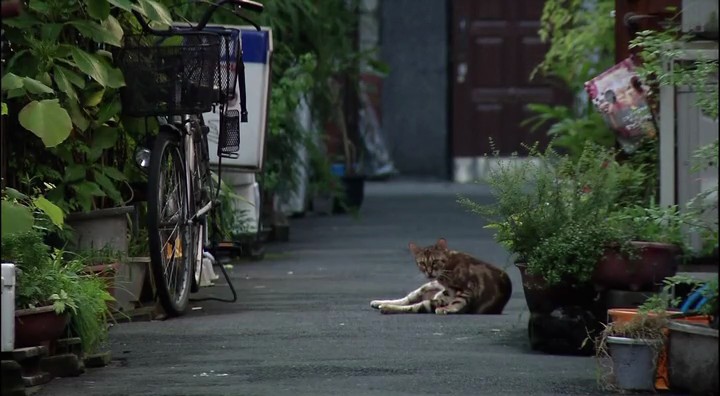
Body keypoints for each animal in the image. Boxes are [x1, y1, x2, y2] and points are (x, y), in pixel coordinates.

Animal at [372, 238, 512, 316]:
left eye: (435, 261)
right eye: (422, 263)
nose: (429, 272)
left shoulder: (469, 287)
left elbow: (458, 300)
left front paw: (450, 308)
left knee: (414, 304)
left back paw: (385, 307)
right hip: (428, 287)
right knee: (408, 298)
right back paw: (380, 303)